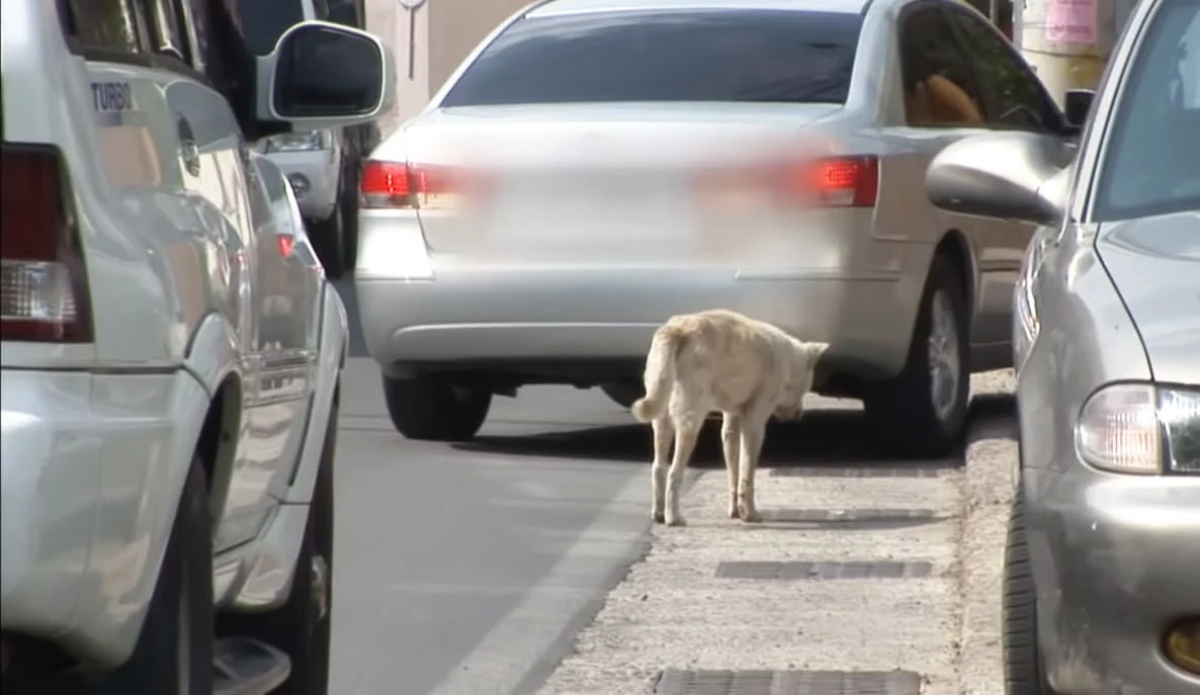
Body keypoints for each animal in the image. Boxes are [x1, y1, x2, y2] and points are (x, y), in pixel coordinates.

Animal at [633, 309, 830, 528]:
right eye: (806, 387)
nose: (799, 414)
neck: (786, 359)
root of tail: (678, 329)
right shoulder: (754, 423)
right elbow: (747, 472)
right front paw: (750, 514)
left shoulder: (731, 424)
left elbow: (734, 471)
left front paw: (735, 511)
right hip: (690, 420)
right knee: (674, 472)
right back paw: (673, 517)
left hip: (661, 417)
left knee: (659, 467)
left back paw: (659, 513)